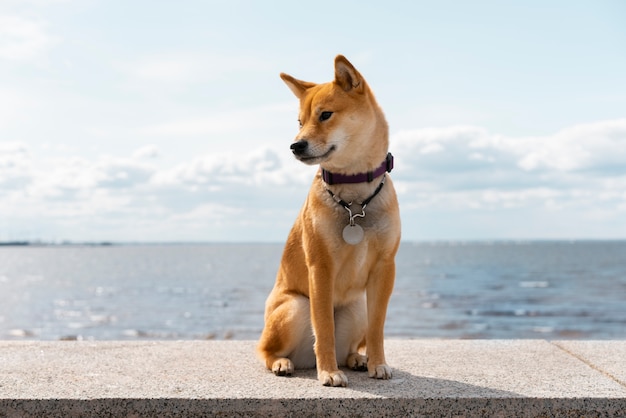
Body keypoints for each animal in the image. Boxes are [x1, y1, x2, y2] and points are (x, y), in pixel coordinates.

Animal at [258, 54, 400, 386]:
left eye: (325, 115)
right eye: (300, 122)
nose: (295, 145)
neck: (355, 199)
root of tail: (304, 361)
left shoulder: (385, 266)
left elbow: (377, 328)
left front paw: (378, 363)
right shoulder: (320, 267)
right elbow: (323, 328)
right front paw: (329, 372)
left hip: (357, 307)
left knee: (349, 345)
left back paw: (356, 359)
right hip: (296, 305)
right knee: (265, 351)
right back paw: (283, 362)